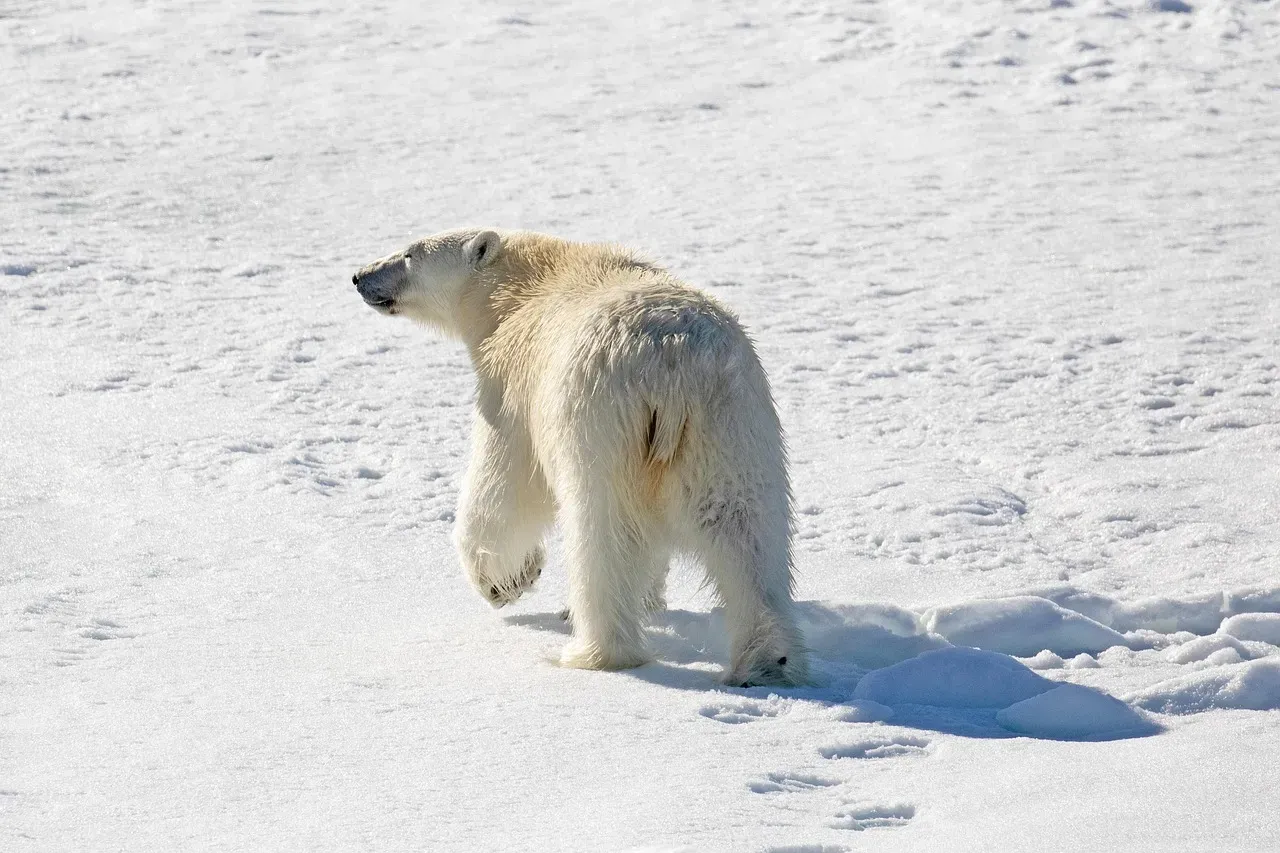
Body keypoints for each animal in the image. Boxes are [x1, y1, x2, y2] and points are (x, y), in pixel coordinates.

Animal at [352, 228, 808, 686]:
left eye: (408, 254)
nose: (359, 276)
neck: (524, 285)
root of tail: (672, 362)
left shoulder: (512, 387)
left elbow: (502, 487)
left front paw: (507, 581)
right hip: (730, 423)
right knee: (745, 529)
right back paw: (767, 661)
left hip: (602, 422)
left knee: (604, 535)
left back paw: (593, 651)